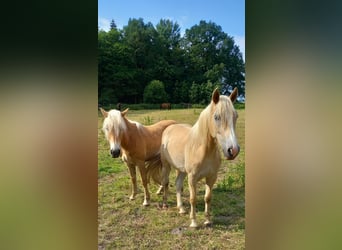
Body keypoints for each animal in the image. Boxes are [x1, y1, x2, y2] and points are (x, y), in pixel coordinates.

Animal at [160, 87, 238, 228]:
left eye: (236, 116)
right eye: (216, 117)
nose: (233, 150)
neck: (202, 150)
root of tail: (169, 127)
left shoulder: (211, 177)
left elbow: (208, 198)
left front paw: (207, 221)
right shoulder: (192, 177)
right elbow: (193, 199)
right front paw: (194, 223)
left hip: (182, 170)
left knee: (178, 184)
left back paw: (181, 209)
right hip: (166, 166)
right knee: (165, 182)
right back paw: (165, 204)